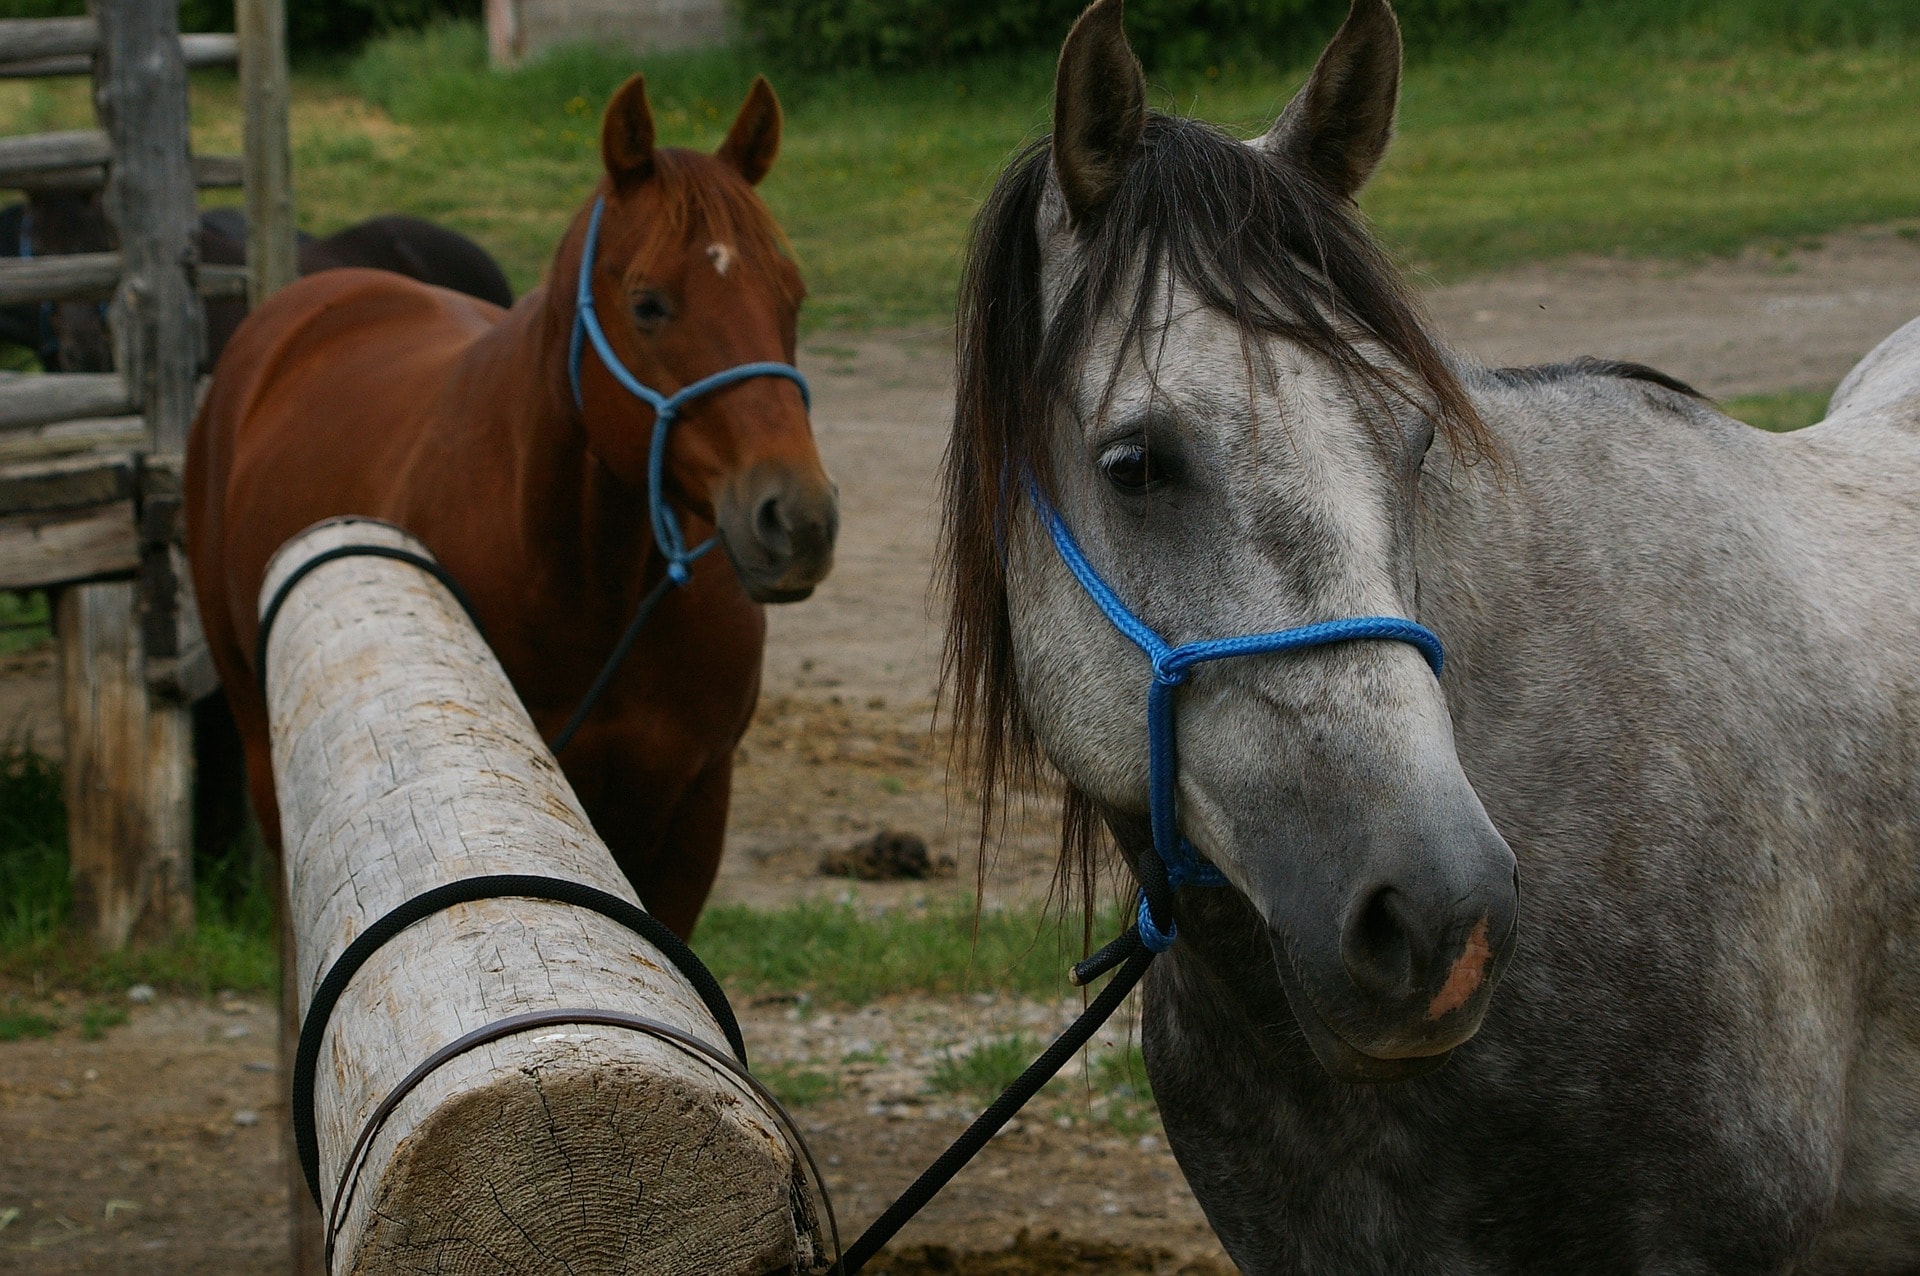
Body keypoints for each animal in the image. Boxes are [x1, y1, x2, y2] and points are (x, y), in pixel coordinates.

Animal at [187, 77, 840, 936]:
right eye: (649, 304)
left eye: (792, 296)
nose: (799, 519)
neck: (586, 587)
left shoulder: (692, 808)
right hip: (258, 738)